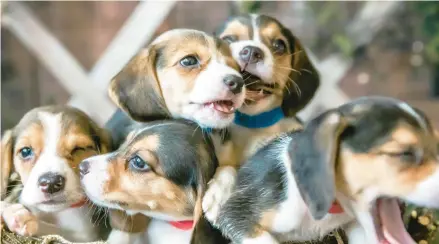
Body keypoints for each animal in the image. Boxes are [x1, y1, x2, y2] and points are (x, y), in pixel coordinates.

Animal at [0, 106, 111, 242]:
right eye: (25, 151)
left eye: (79, 148)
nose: (51, 183)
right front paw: (9, 211)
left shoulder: (84, 237)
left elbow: (56, 231)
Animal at [203, 13, 320, 221]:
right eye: (228, 40)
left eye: (279, 45)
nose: (251, 51)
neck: (252, 124)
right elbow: (227, 167)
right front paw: (219, 193)